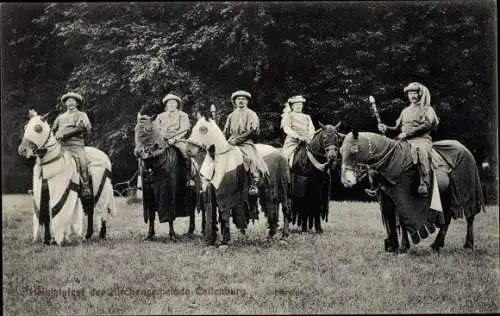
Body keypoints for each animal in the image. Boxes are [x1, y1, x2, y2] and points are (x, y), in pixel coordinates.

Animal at [17, 110, 117, 246]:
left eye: (38, 128)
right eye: (25, 127)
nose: (22, 150)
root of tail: (104, 155)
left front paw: (57, 240)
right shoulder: (43, 194)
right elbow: (46, 217)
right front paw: (47, 240)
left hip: (102, 191)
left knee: (102, 212)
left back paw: (101, 235)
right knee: (91, 210)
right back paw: (88, 236)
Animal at [340, 131, 484, 254]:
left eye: (354, 149)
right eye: (341, 151)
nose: (346, 180)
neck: (392, 162)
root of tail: (464, 149)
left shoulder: (404, 199)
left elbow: (403, 223)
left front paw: (403, 247)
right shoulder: (387, 199)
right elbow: (391, 222)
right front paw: (392, 246)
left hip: (467, 193)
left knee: (470, 217)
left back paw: (468, 245)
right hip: (446, 196)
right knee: (447, 219)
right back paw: (436, 245)